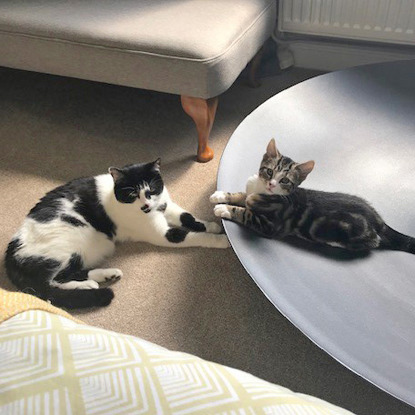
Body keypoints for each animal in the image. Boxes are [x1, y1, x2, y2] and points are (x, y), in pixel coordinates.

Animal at [4, 159, 229, 308]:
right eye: (132, 194)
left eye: (151, 189)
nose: (146, 206)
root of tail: (11, 253)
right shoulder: (162, 234)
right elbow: (190, 235)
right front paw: (220, 239)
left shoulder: (167, 206)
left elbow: (188, 217)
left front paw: (212, 224)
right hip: (68, 243)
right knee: (48, 285)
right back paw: (88, 286)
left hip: (88, 250)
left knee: (69, 274)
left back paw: (104, 276)